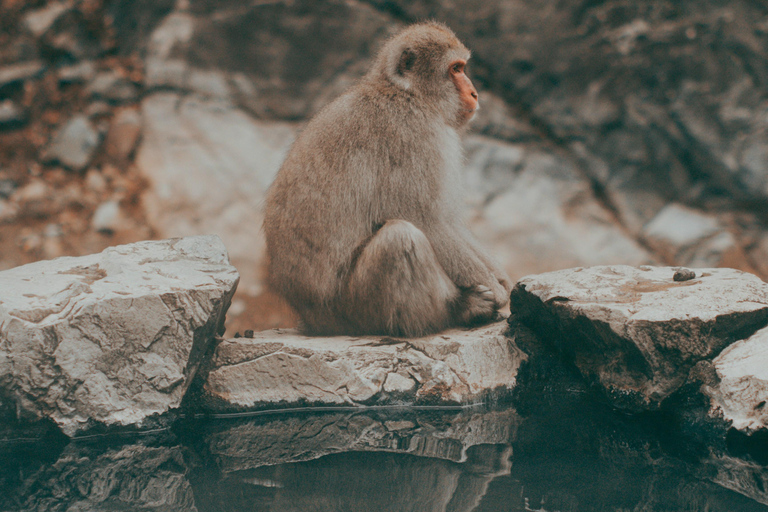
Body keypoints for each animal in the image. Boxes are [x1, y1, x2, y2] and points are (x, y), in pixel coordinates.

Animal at [263, 21, 511, 337]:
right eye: (456, 69)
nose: (474, 93)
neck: (407, 93)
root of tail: (312, 321)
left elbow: (448, 220)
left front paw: (501, 279)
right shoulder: (412, 133)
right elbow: (425, 220)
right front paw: (495, 290)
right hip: (353, 309)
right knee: (400, 238)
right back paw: (459, 310)